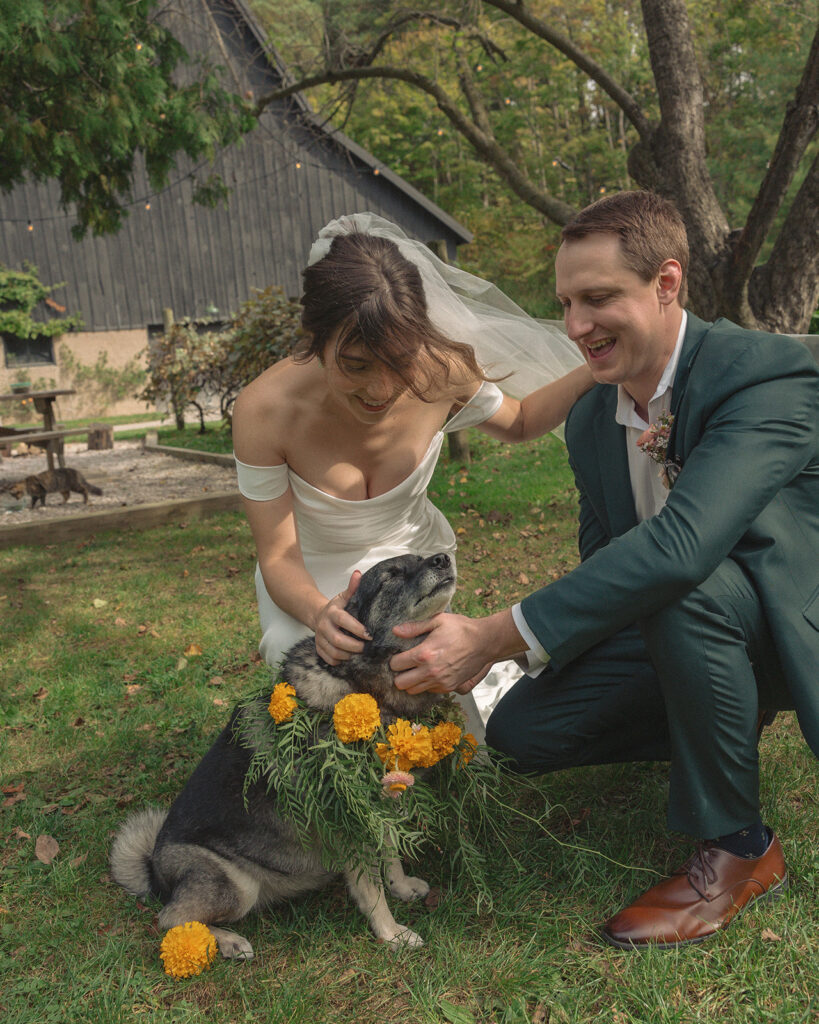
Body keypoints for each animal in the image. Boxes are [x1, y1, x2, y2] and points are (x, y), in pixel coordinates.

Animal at [109, 552, 456, 958]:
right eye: (392, 575)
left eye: (421, 556)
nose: (443, 558)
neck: (358, 681)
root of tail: (154, 871)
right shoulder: (348, 821)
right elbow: (371, 888)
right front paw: (392, 933)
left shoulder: (378, 802)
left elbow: (390, 853)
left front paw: (400, 887)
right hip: (236, 886)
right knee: (169, 919)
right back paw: (227, 942)